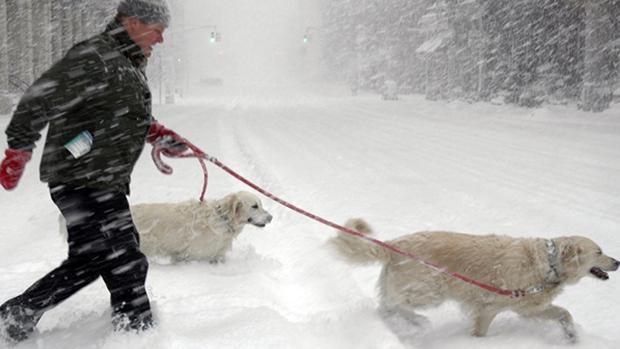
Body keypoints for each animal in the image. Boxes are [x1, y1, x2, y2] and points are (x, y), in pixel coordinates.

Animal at [326, 219, 616, 342]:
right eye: (599, 251)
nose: (618, 262)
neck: (550, 264)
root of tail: (395, 244)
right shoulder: (489, 307)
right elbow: (481, 332)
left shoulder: (529, 308)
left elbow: (564, 314)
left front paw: (572, 337)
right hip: (431, 290)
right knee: (398, 305)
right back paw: (417, 323)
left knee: (387, 306)